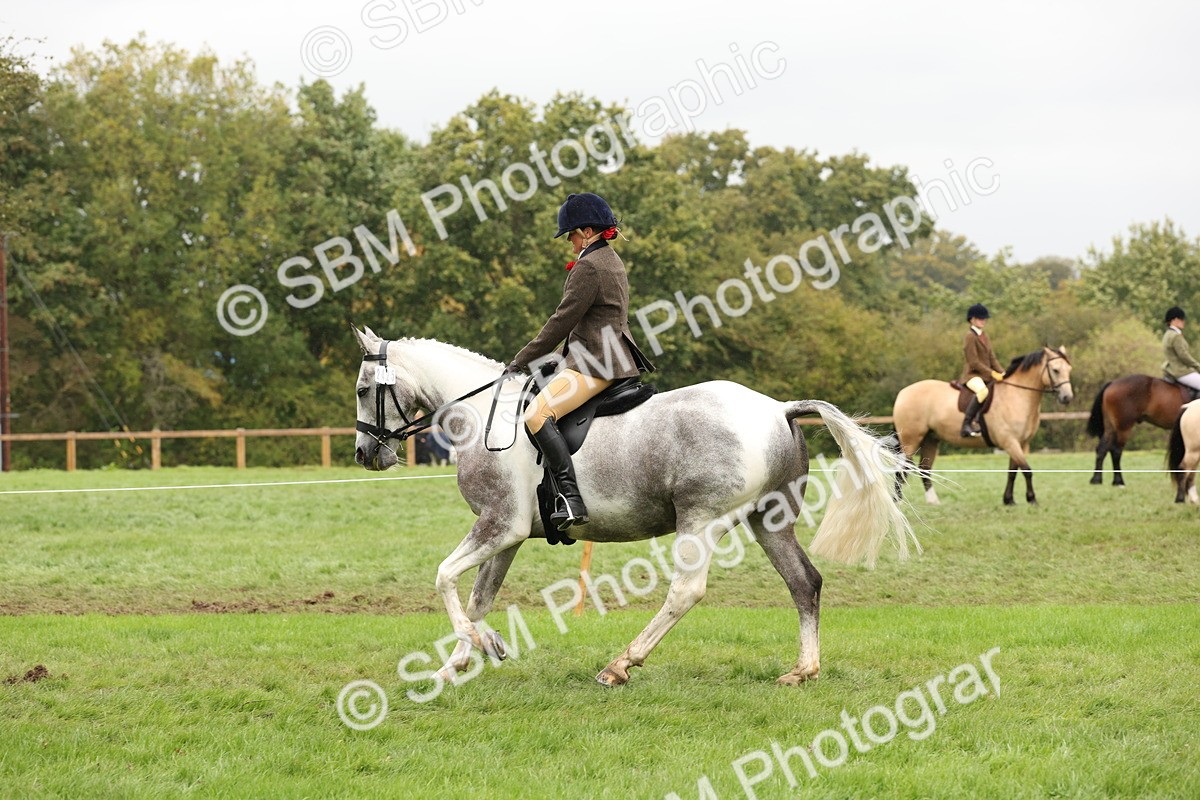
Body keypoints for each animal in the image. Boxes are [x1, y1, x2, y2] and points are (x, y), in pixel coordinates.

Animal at [350, 327, 917, 687]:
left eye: (361, 390)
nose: (364, 454)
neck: (482, 417)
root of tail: (779, 409)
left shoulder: (498, 526)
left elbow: (446, 578)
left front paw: (483, 646)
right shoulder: (506, 535)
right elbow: (478, 598)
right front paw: (456, 665)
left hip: (700, 519)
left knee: (686, 591)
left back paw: (620, 665)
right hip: (769, 522)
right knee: (804, 583)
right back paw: (802, 671)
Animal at [892, 347, 1074, 505]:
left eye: (1069, 369)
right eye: (1055, 370)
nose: (1067, 397)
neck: (1016, 396)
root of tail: (903, 392)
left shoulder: (1019, 443)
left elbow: (1013, 472)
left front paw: (1009, 500)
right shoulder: (1010, 442)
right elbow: (1027, 470)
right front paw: (1032, 499)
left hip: (931, 439)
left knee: (925, 468)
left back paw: (933, 501)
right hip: (911, 440)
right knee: (901, 469)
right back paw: (897, 502)